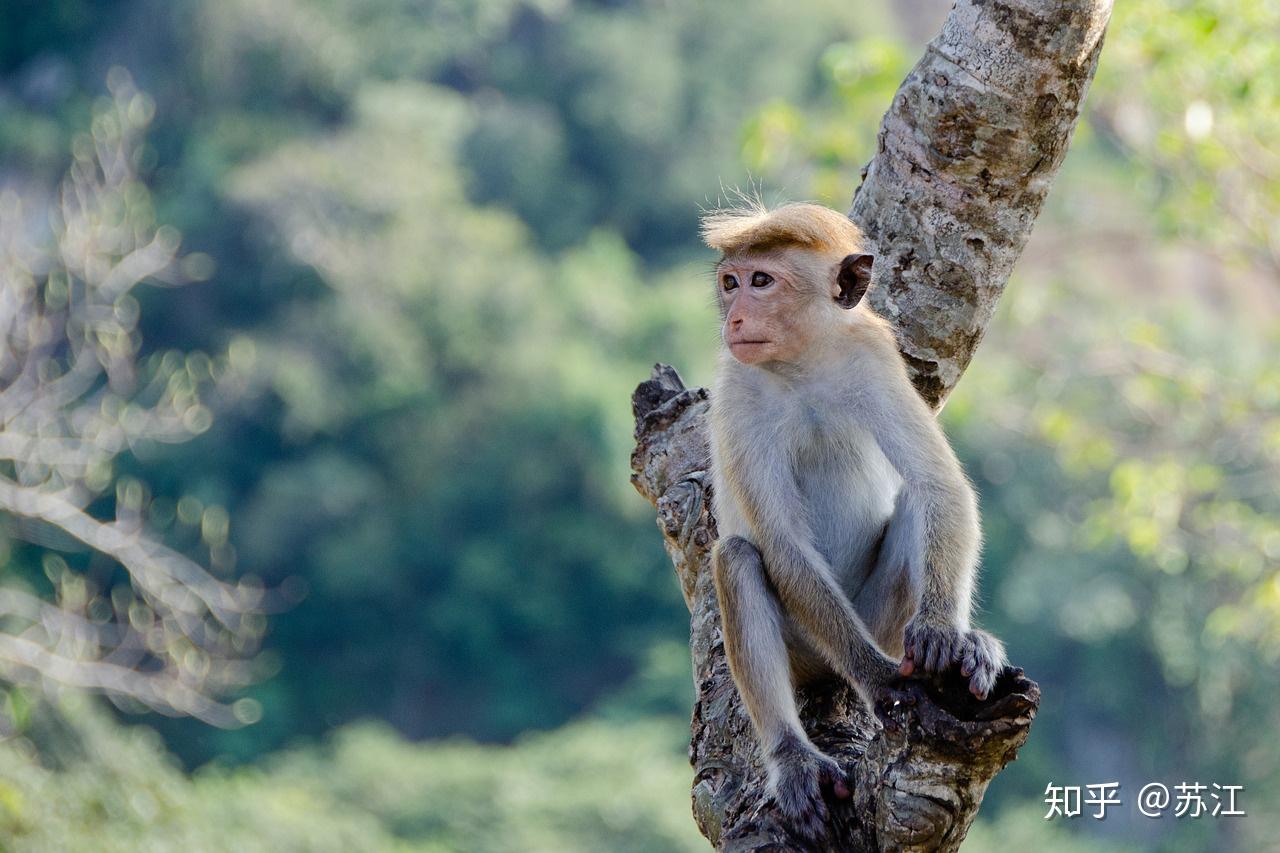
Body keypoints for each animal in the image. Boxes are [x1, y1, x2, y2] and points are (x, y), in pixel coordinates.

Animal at [701, 201, 1008, 835]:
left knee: (916, 502)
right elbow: (783, 544)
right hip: (809, 646)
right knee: (738, 558)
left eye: (761, 281)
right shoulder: (738, 392)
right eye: (730, 282)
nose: (736, 318)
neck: (801, 365)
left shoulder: (873, 358)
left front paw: (944, 633)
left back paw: (966, 644)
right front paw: (879, 679)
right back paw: (794, 759)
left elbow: (938, 485)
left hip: (879, 616)